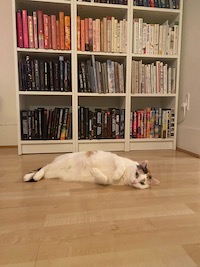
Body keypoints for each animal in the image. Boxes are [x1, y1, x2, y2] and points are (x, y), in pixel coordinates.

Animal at [22, 151, 159, 191]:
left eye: (142, 183)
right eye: (136, 174)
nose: (134, 181)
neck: (125, 178)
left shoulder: (106, 181)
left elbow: (104, 179)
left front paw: (94, 171)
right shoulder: (117, 159)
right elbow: (120, 167)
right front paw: (116, 174)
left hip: (54, 173)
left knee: (45, 171)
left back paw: (34, 177)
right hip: (59, 163)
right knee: (44, 167)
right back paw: (34, 176)